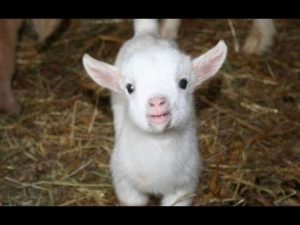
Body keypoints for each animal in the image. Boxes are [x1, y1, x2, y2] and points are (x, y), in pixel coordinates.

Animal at [82, 18, 227, 206]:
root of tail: (146, 32)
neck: (159, 142)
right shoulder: (125, 186)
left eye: (183, 83)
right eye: (129, 88)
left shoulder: (183, 188)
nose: (157, 102)